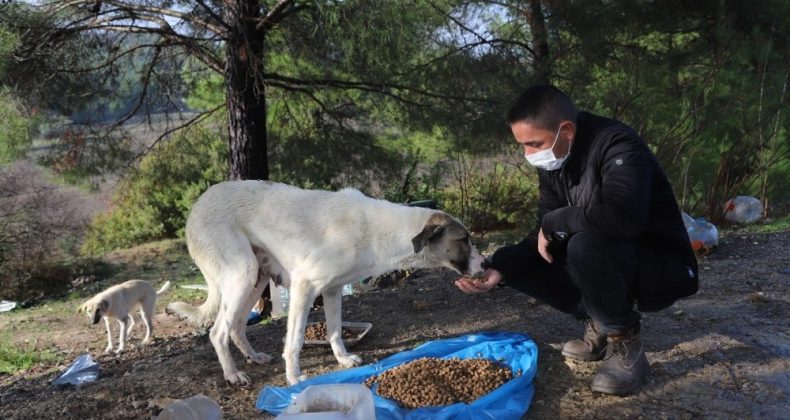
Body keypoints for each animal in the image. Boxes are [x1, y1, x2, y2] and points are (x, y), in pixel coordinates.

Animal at [170, 180, 486, 384]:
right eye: (464, 239)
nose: (485, 264)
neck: (379, 231)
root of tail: (197, 206)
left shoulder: (333, 290)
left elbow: (335, 331)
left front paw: (343, 360)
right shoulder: (304, 285)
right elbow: (295, 340)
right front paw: (294, 377)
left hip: (255, 279)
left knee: (236, 327)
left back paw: (253, 357)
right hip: (242, 274)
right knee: (217, 332)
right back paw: (232, 374)